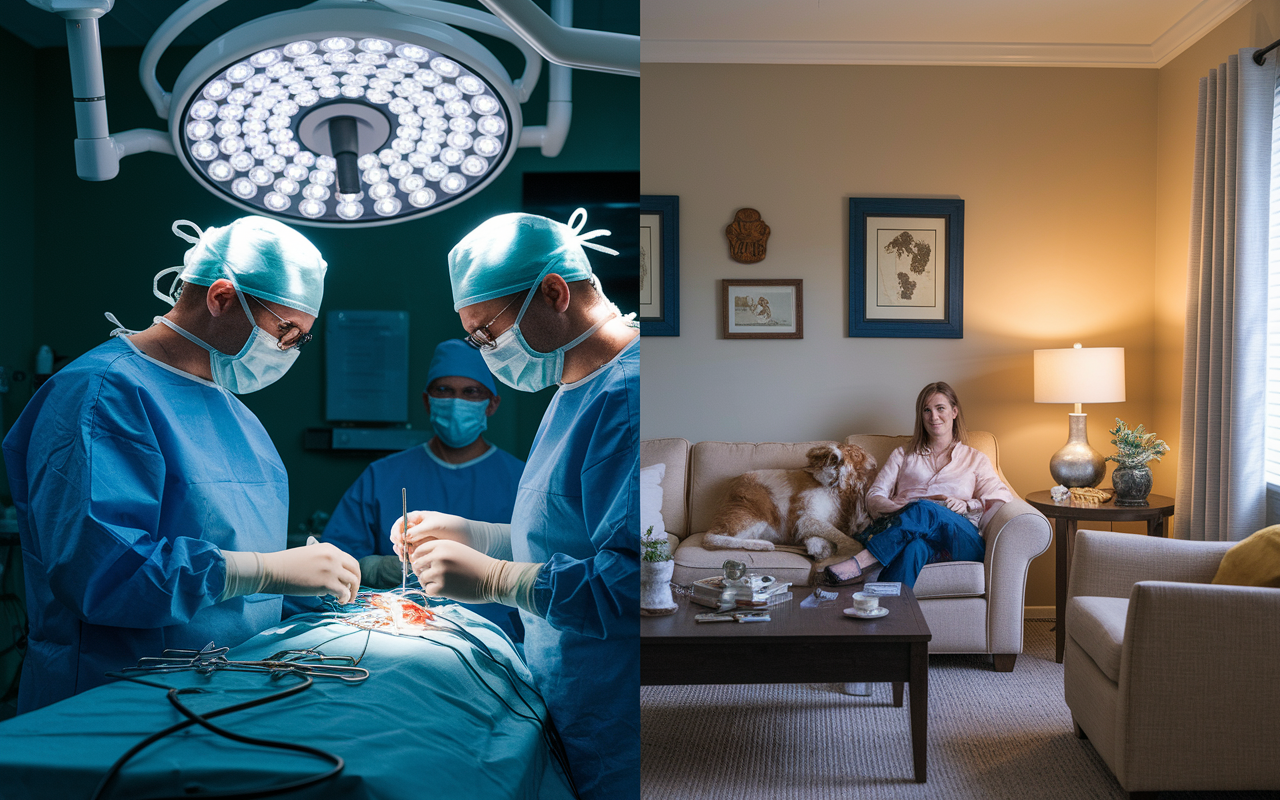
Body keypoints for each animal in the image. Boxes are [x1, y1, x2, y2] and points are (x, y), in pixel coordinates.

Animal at [706, 440, 875, 558]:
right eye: (857, 455)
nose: (874, 463)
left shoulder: (811, 521)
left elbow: (827, 536)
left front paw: (819, 548)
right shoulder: (808, 519)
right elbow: (851, 543)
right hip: (756, 516)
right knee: (711, 538)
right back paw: (764, 545)